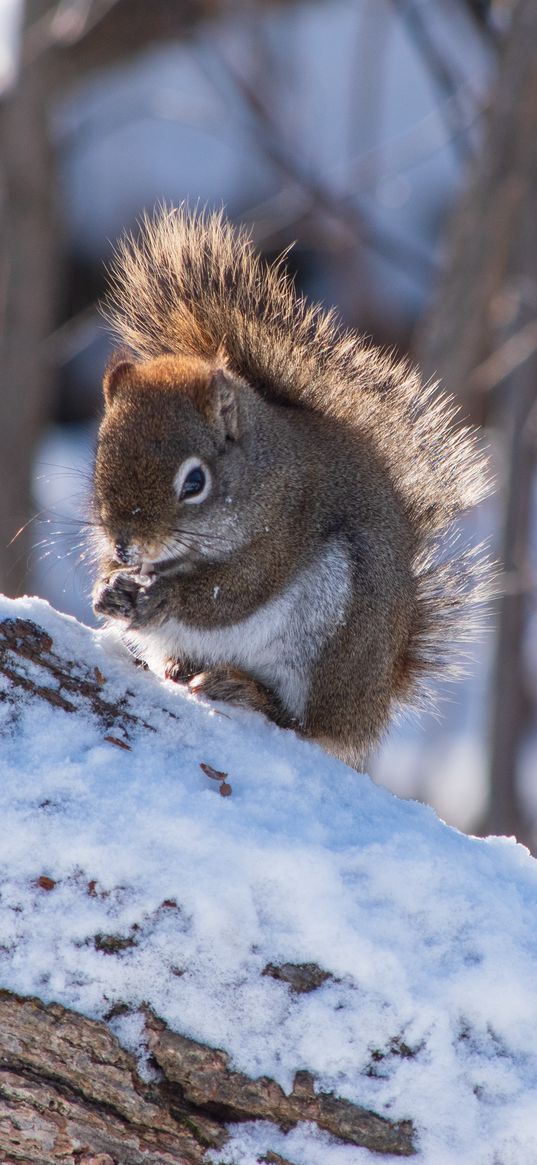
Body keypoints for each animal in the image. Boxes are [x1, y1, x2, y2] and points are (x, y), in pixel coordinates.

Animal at [92, 207, 489, 773]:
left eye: (195, 482)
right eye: (100, 453)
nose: (127, 546)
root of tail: (372, 703)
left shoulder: (287, 522)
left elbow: (235, 592)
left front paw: (163, 595)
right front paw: (109, 587)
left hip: (330, 640)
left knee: (304, 725)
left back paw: (248, 691)